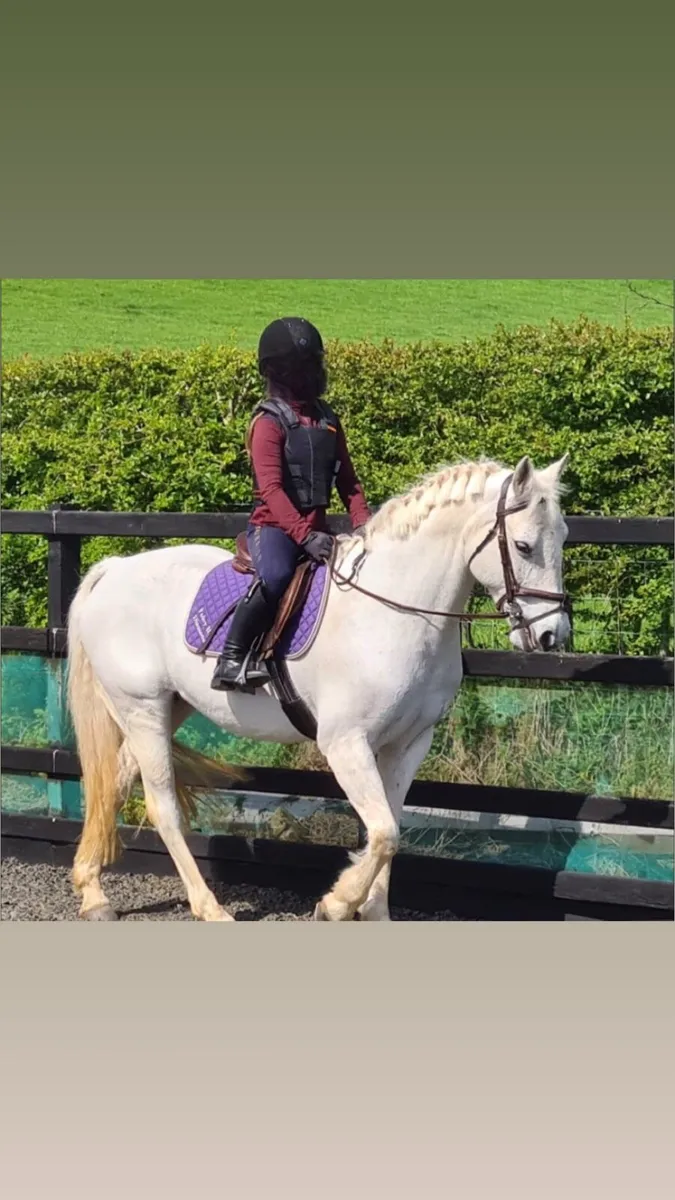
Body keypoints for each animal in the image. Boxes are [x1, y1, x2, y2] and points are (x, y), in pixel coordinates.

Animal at [66, 453, 570, 922]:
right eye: (523, 546)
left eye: (563, 537)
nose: (552, 635)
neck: (398, 610)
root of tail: (113, 570)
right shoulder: (345, 743)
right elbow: (384, 832)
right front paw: (337, 903)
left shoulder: (409, 742)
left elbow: (389, 828)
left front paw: (374, 912)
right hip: (142, 708)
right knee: (161, 807)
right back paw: (210, 909)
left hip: (169, 708)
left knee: (114, 780)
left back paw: (92, 893)